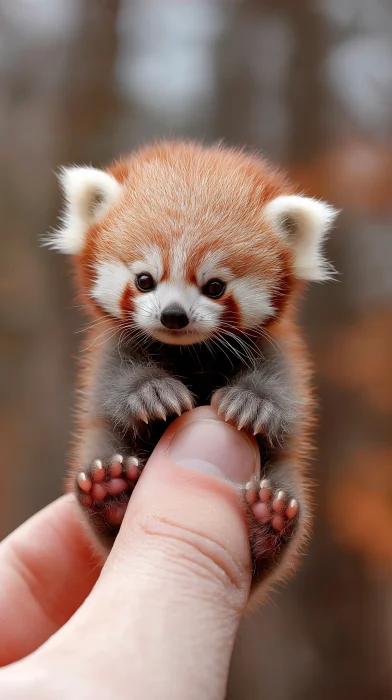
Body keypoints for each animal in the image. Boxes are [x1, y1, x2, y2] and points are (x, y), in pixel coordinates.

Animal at [52, 141, 336, 596]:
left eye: (215, 286)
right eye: (145, 279)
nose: (173, 316)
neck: (189, 353)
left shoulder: (280, 349)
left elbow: (285, 393)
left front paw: (251, 403)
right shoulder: (109, 350)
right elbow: (112, 383)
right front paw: (152, 393)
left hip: (285, 476)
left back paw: (271, 520)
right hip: (99, 448)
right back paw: (108, 492)